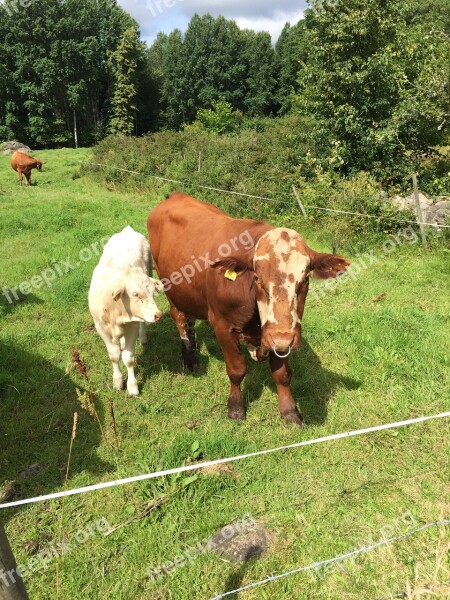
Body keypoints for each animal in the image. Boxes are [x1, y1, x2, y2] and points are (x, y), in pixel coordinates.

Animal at [88, 225, 163, 394]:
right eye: (135, 294)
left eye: (152, 292)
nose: (158, 314)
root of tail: (127, 230)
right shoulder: (100, 327)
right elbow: (114, 355)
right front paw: (117, 381)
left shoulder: (132, 325)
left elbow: (128, 358)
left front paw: (132, 387)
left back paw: (143, 337)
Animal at [148, 193, 352, 426]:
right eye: (257, 278)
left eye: (305, 280)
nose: (280, 338)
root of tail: (175, 195)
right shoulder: (222, 326)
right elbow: (237, 370)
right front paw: (235, 407)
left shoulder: (280, 335)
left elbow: (282, 374)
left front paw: (290, 412)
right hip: (170, 288)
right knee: (180, 319)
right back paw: (190, 358)